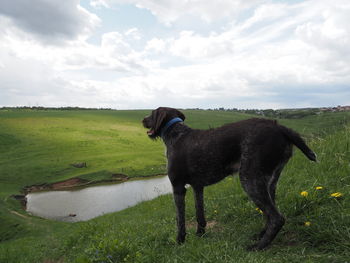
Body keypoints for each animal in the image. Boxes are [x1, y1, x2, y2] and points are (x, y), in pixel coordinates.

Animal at [142, 107, 318, 252]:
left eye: (151, 114)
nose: (142, 119)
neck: (176, 134)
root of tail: (279, 127)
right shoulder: (198, 187)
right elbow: (200, 214)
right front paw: (200, 235)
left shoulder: (178, 187)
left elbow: (180, 220)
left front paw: (180, 241)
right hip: (269, 182)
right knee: (269, 213)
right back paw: (260, 235)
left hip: (250, 179)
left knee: (276, 218)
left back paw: (259, 246)